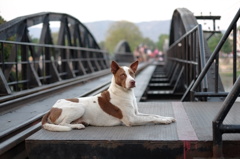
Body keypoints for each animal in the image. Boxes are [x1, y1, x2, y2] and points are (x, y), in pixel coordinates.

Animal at [41, 60, 174, 131]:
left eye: (132, 73)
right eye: (122, 75)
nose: (133, 82)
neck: (126, 93)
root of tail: (52, 108)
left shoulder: (136, 114)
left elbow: (154, 115)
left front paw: (166, 117)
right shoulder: (132, 119)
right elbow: (151, 118)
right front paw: (165, 120)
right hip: (79, 107)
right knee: (62, 124)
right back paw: (78, 125)